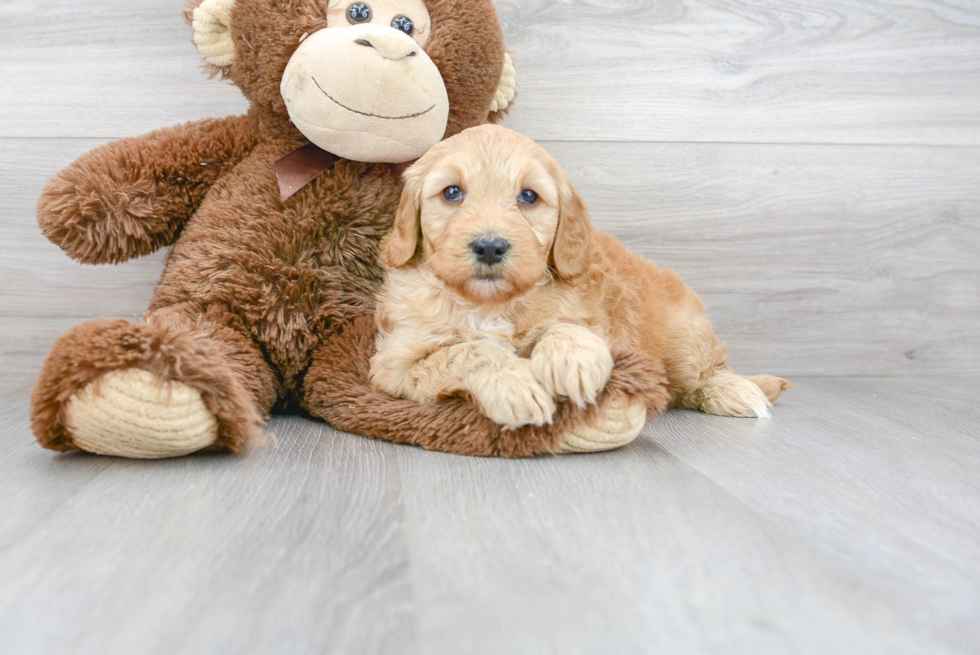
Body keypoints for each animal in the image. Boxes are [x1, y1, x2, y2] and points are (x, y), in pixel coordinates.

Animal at [368, 123, 788, 430]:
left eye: (529, 196)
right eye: (452, 192)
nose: (489, 246)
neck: (492, 304)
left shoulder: (593, 314)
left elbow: (567, 325)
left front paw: (574, 360)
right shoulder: (396, 365)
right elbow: (466, 351)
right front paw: (515, 385)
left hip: (684, 337)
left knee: (705, 373)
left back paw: (740, 392)